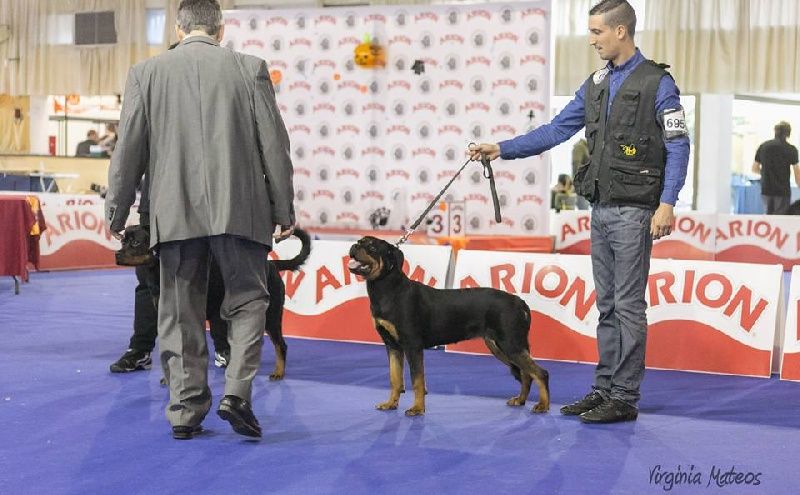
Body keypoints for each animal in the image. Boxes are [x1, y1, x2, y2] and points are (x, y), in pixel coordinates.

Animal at [347, 236, 550, 416]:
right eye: (359, 241)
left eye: (372, 247)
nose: (354, 246)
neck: (388, 289)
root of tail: (520, 302)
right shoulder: (393, 346)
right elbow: (395, 379)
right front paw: (390, 404)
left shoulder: (413, 346)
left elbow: (417, 381)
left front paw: (418, 409)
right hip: (499, 347)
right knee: (526, 374)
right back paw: (520, 400)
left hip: (510, 344)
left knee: (540, 373)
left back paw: (543, 406)